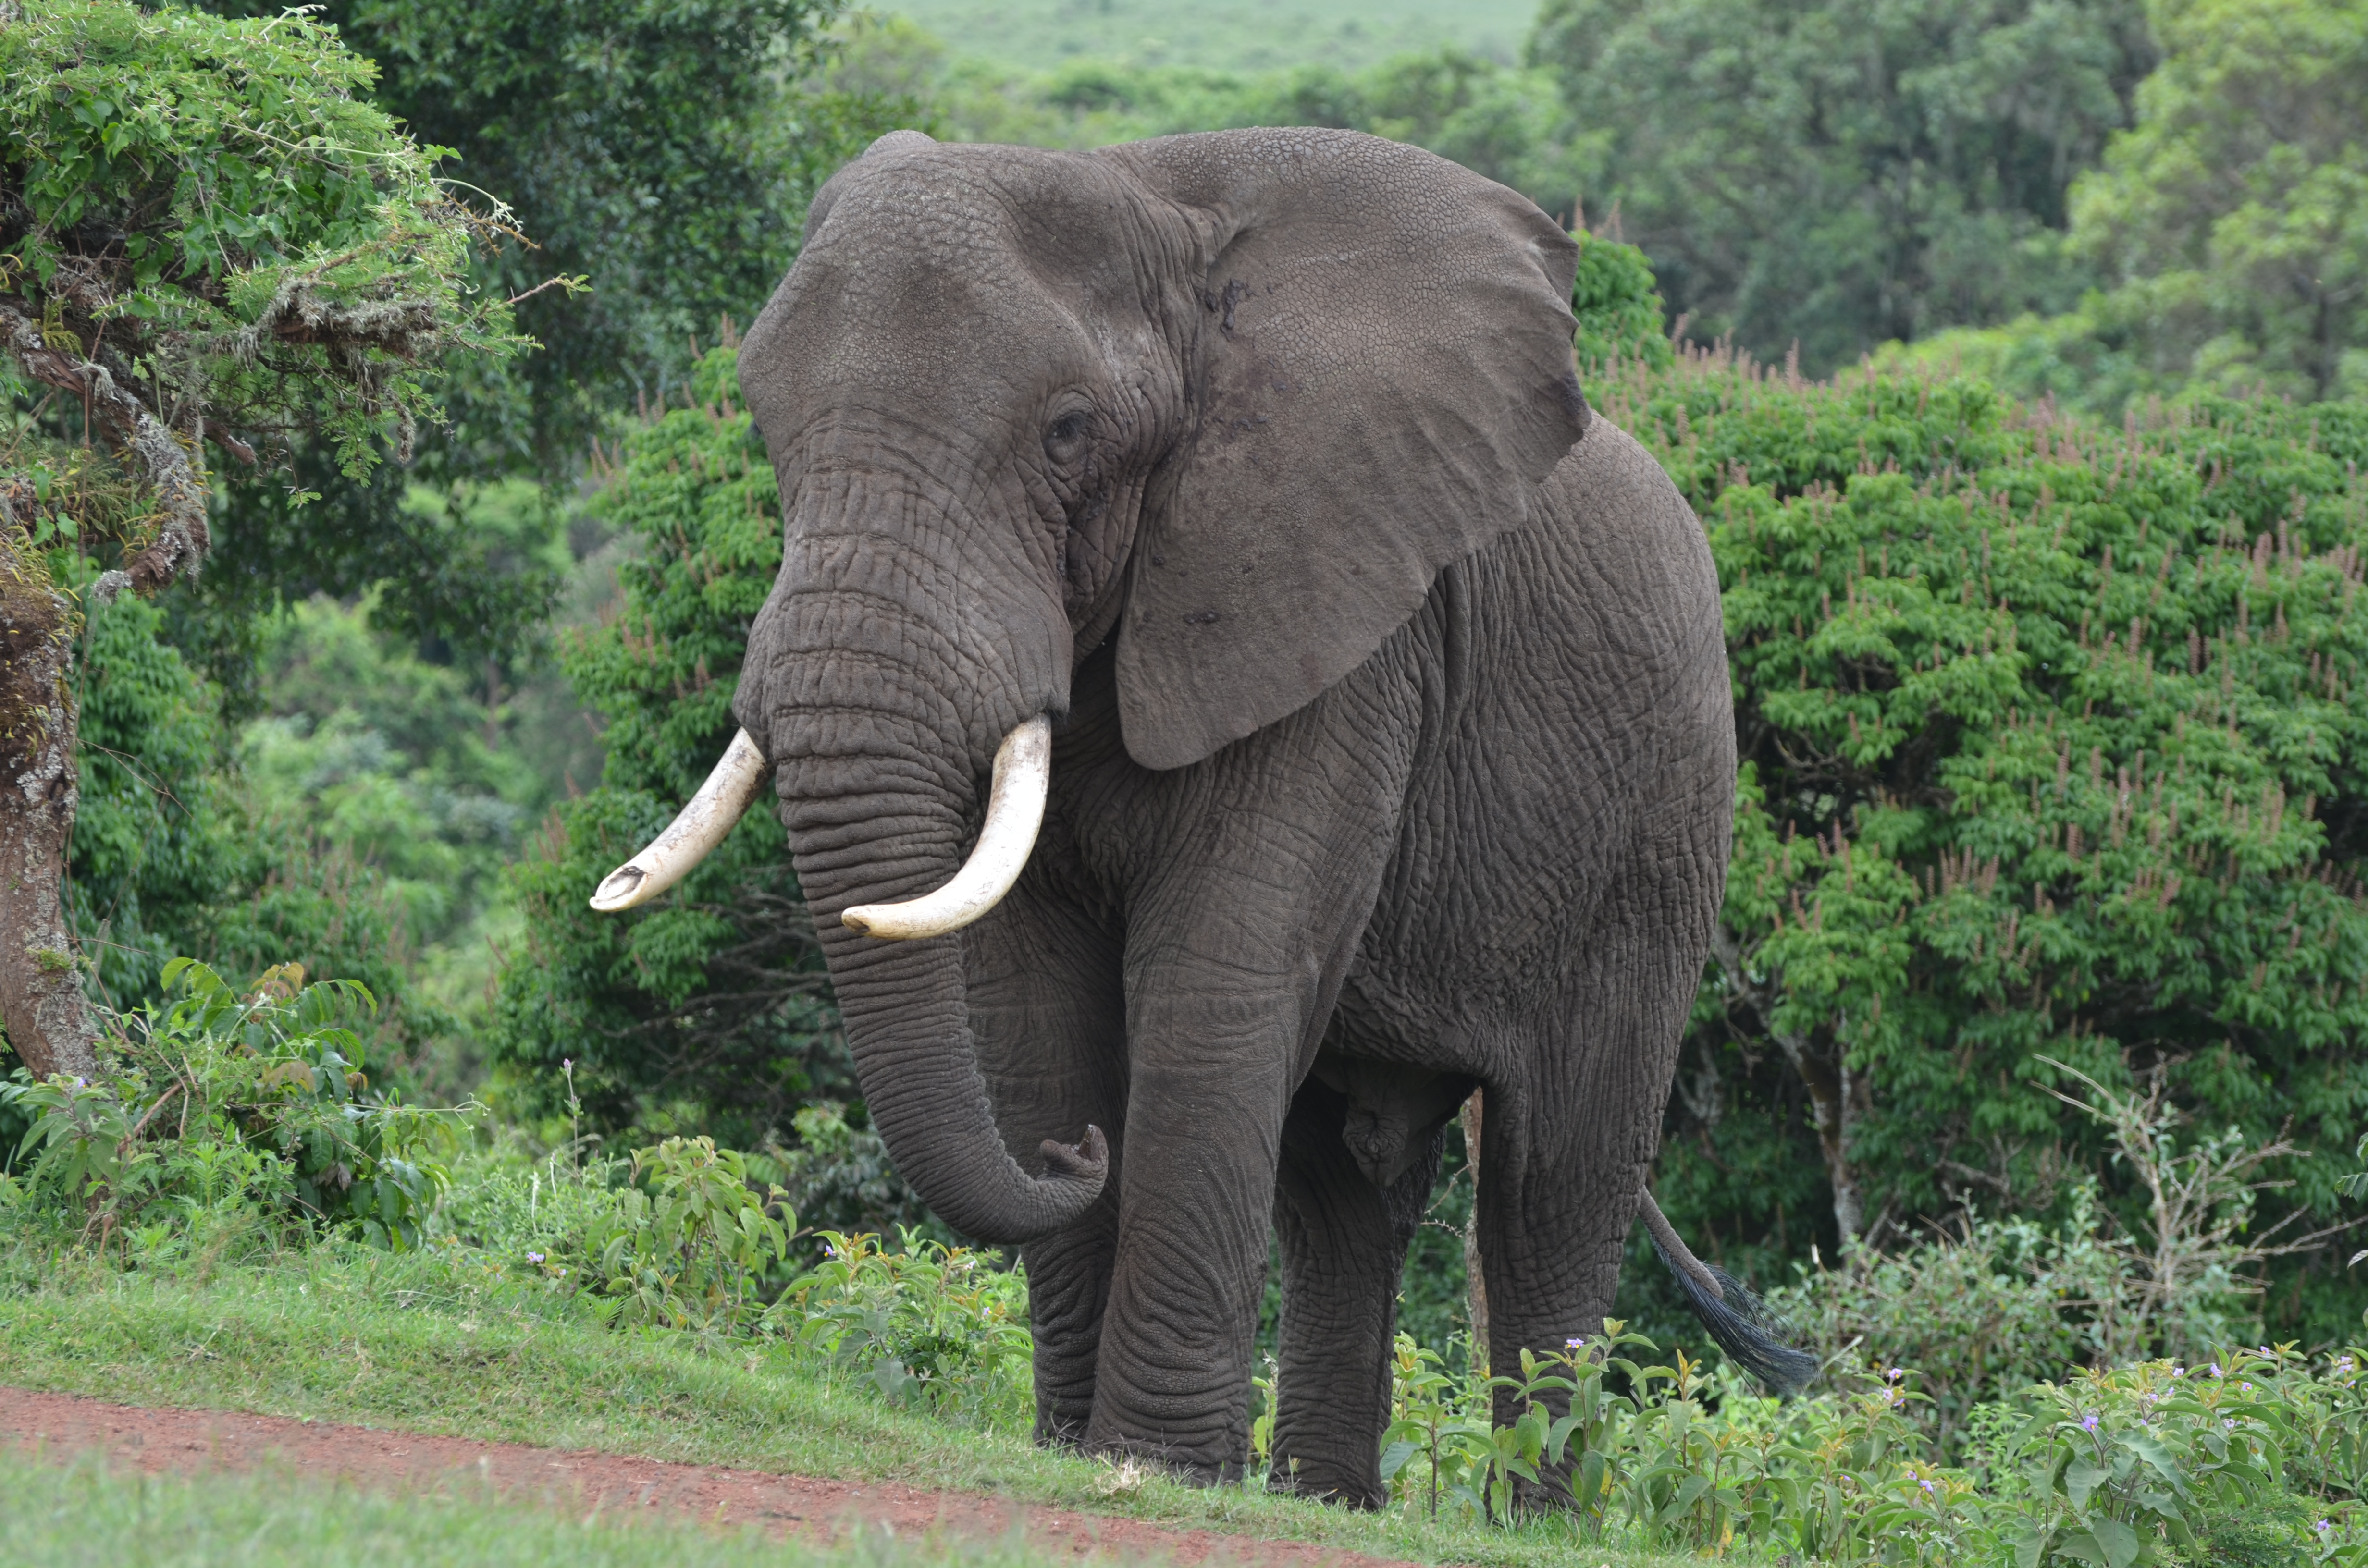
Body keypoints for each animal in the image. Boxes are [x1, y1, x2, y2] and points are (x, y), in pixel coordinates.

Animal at [592, 126, 1809, 1516]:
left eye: (1068, 433)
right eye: (768, 428)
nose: (1071, 1157)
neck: (1155, 207)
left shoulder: (1339, 621)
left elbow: (1215, 985)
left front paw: (1153, 1465)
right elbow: (1037, 1009)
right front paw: (1077, 1447)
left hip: (1660, 833)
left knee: (1552, 1181)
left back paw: (1531, 1519)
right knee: (1345, 1189)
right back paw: (1325, 1503)